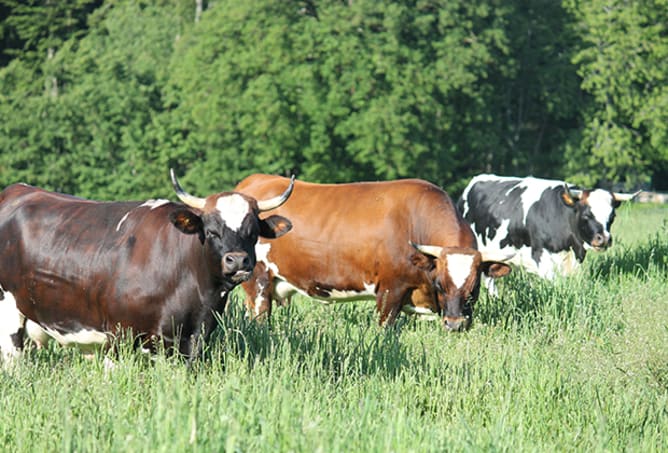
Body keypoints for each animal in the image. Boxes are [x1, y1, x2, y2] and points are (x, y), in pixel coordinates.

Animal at [0, 170, 292, 364]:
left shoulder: (192, 342)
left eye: (253, 232)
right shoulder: (118, 336)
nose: (238, 260)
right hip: (8, 315)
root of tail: (16, 190)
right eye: (211, 231)